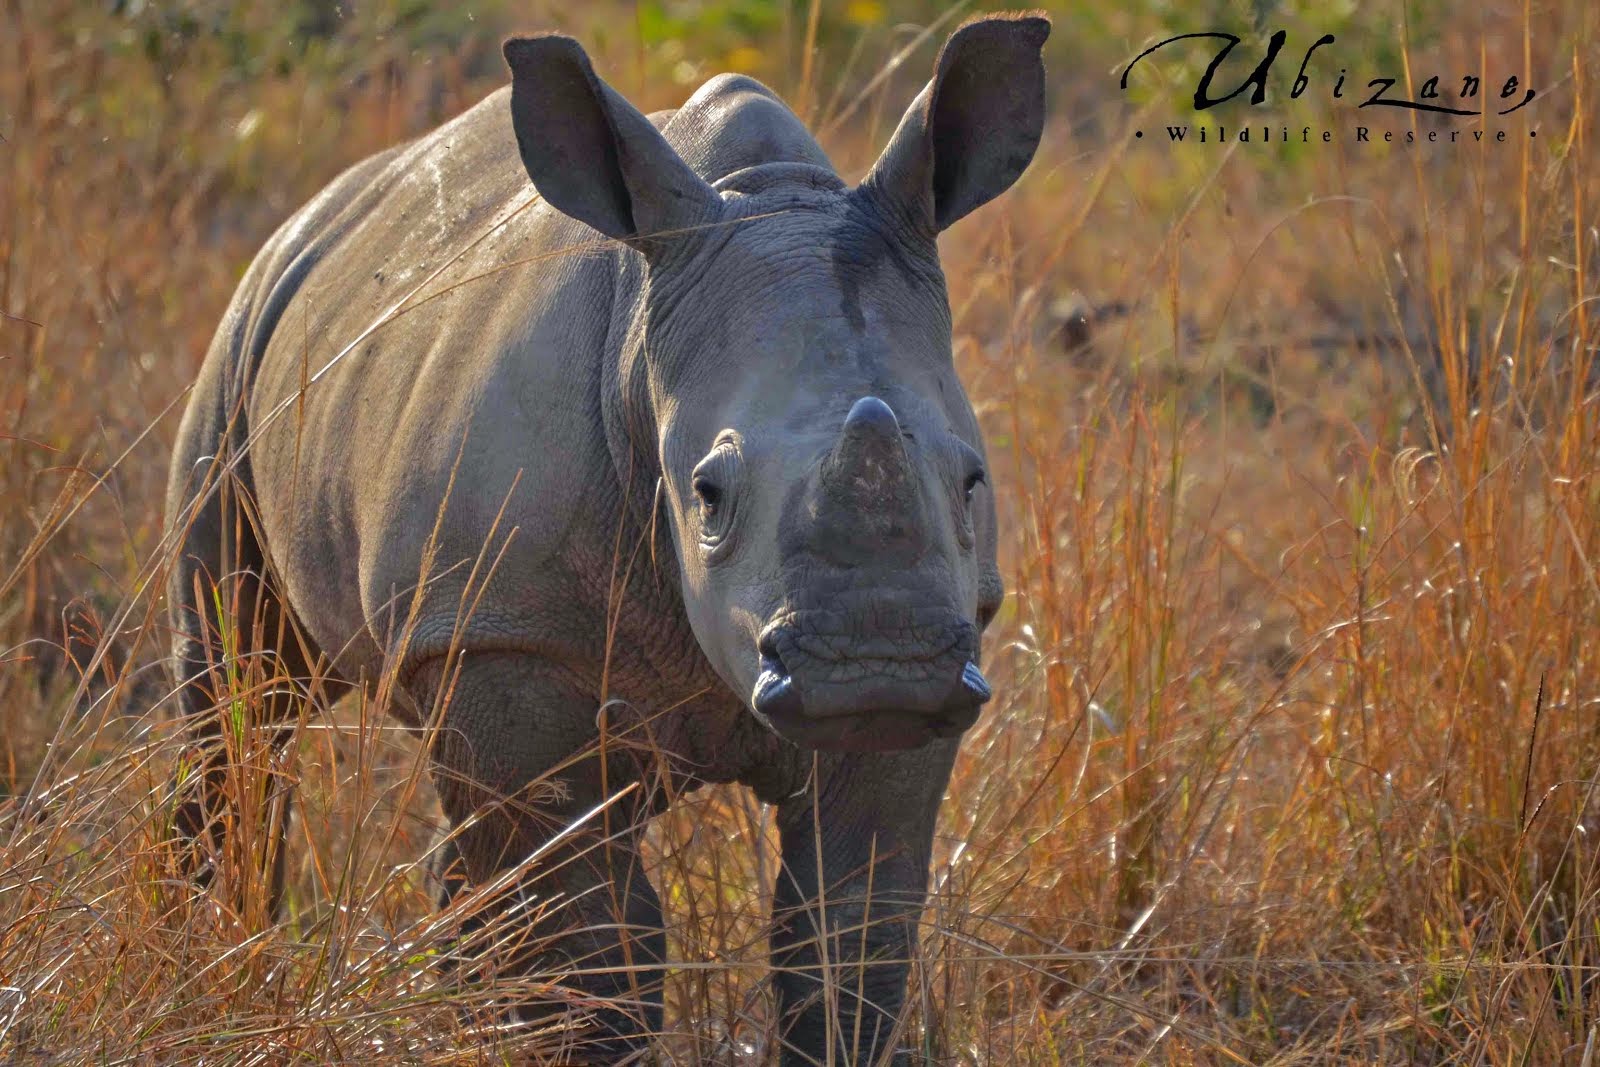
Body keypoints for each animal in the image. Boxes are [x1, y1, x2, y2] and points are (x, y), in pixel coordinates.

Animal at [165, 12, 1049, 1062]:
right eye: (708, 494)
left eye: (972, 482)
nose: (879, 669)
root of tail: (321, 213)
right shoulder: (509, 631)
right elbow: (591, 951)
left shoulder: (943, 664)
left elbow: (846, 925)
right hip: (242, 348)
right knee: (239, 696)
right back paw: (210, 957)